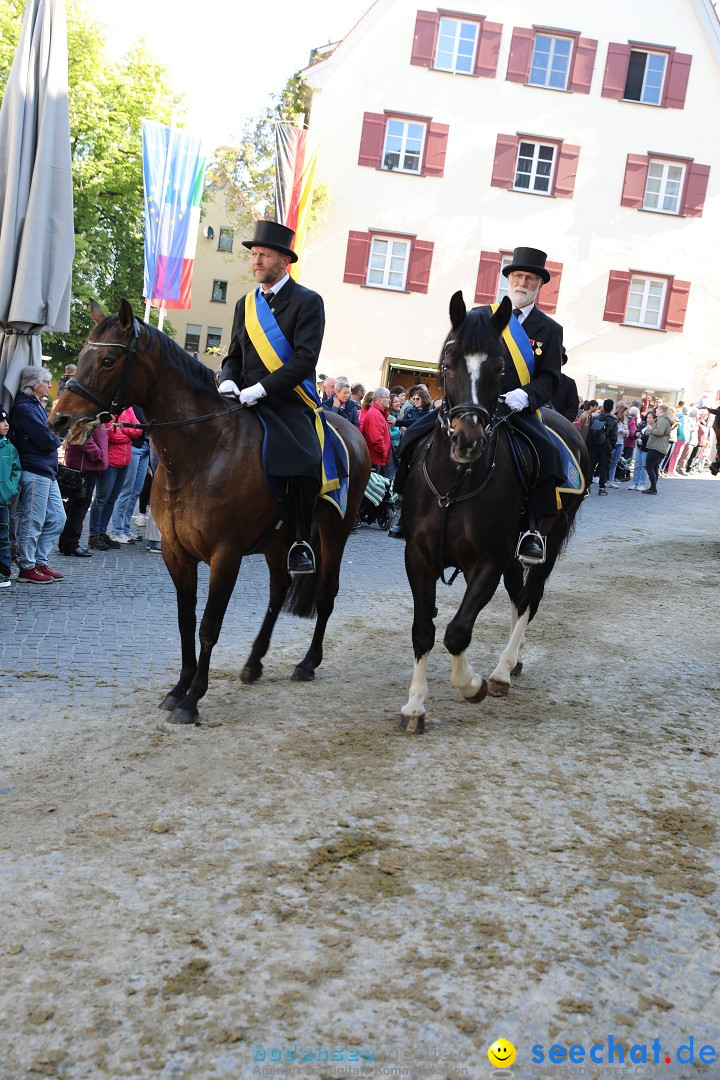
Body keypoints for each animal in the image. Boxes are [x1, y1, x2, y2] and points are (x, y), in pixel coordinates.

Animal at [49, 302, 371, 725]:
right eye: (83, 355)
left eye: (106, 360)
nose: (59, 420)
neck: (203, 449)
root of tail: (352, 431)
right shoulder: (176, 553)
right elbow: (186, 620)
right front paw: (178, 688)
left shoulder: (226, 555)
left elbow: (209, 625)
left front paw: (192, 699)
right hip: (277, 541)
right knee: (278, 590)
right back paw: (254, 662)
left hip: (335, 532)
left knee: (326, 591)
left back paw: (307, 662)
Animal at [399, 293, 591, 734]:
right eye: (448, 361)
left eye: (500, 367)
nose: (467, 440)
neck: (455, 482)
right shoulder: (418, 556)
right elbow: (423, 630)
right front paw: (415, 706)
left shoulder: (488, 560)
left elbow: (457, 632)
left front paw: (472, 686)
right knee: (520, 596)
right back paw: (513, 661)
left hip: (548, 541)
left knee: (530, 598)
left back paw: (502, 671)